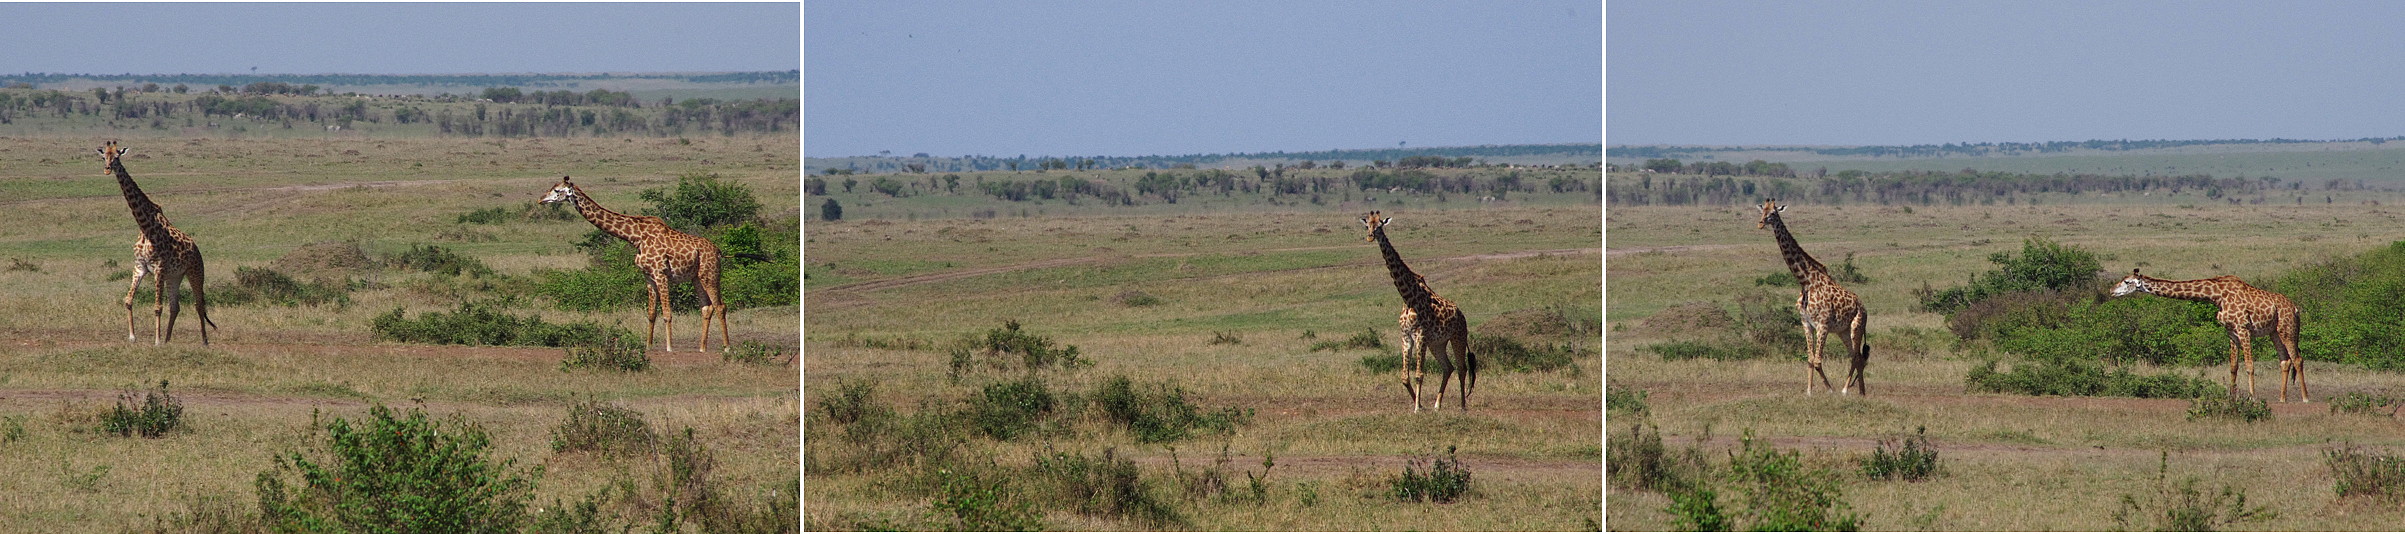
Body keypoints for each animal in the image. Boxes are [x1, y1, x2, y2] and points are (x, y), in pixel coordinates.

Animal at [98, 139, 216, 343]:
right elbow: (128, 301)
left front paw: (157, 341)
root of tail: (196, 248)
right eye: (104, 155)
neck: (146, 228)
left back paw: (204, 341)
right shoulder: (140, 267)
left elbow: (157, 307)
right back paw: (169, 339)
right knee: (175, 306)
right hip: (175, 276)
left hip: (195, 271)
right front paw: (132, 337)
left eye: (117, 156)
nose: (107, 169)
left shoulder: (159, 268)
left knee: (198, 304)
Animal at [541, 174, 726, 351]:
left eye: (557, 190)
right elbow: (651, 313)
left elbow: (667, 313)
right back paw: (702, 348)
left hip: (710, 274)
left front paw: (669, 348)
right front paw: (648, 346)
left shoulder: (661, 273)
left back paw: (726, 347)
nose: (541, 199)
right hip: (697, 277)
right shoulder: (648, 276)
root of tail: (718, 252)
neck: (636, 237)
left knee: (720, 306)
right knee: (706, 308)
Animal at [1366, 210, 1471, 411]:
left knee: (1462, 368)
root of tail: (1462, 315)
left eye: (1380, 225)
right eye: (1367, 225)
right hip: (1437, 343)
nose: (1370, 236)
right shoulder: (1406, 337)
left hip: (1458, 337)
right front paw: (1420, 404)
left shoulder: (1420, 335)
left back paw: (1462, 406)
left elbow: (1419, 375)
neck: (1408, 298)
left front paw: (1416, 408)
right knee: (1448, 368)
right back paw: (1437, 405)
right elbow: (1405, 377)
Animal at [1760, 199, 1866, 396]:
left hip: (1856, 326)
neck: (1807, 282)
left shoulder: (1823, 324)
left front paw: (1830, 389)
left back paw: (1845, 390)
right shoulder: (1806, 322)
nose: (1761, 223)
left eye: (1773, 213)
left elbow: (1817, 360)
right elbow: (1810, 358)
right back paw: (1862, 392)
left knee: (1856, 357)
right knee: (1856, 356)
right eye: (1762, 211)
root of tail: (1864, 307)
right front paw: (1808, 391)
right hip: (1843, 331)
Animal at [2116, 269, 2299, 401]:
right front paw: (2231, 397)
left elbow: (2249, 365)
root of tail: (2296, 308)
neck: (2217, 295)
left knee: (2297, 359)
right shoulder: (2231, 332)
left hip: (2287, 329)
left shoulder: (2243, 328)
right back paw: (2283, 399)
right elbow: (2233, 366)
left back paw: (2303, 398)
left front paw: (2252, 398)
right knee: (2286, 361)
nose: (2112, 291)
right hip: (2275, 332)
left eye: (2126, 281)